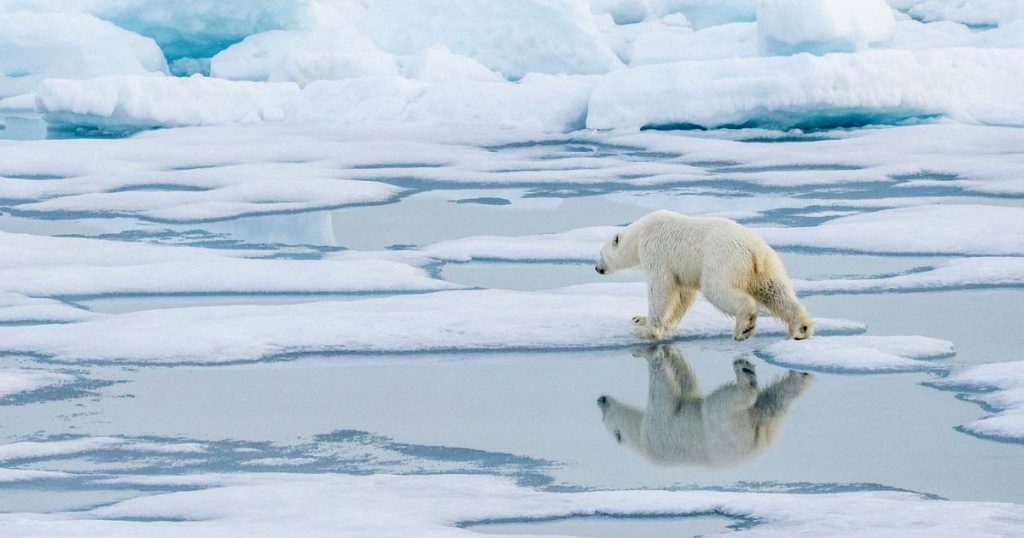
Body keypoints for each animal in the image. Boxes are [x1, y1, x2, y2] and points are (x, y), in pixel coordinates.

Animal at [598, 209, 811, 340]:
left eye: (600, 254)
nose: (597, 269)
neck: (640, 232)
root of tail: (754, 250)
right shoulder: (683, 268)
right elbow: (682, 294)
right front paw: (641, 319)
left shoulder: (656, 252)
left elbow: (661, 288)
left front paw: (646, 329)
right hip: (767, 268)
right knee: (776, 293)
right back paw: (801, 328)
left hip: (723, 261)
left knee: (717, 290)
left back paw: (744, 327)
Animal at [598, 344, 811, 465]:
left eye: (604, 418)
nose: (600, 400)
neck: (641, 439)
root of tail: (758, 439)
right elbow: (683, 386)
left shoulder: (655, 431)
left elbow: (667, 392)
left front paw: (646, 351)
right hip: (745, 426)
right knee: (773, 400)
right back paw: (795, 376)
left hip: (723, 427)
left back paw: (744, 370)